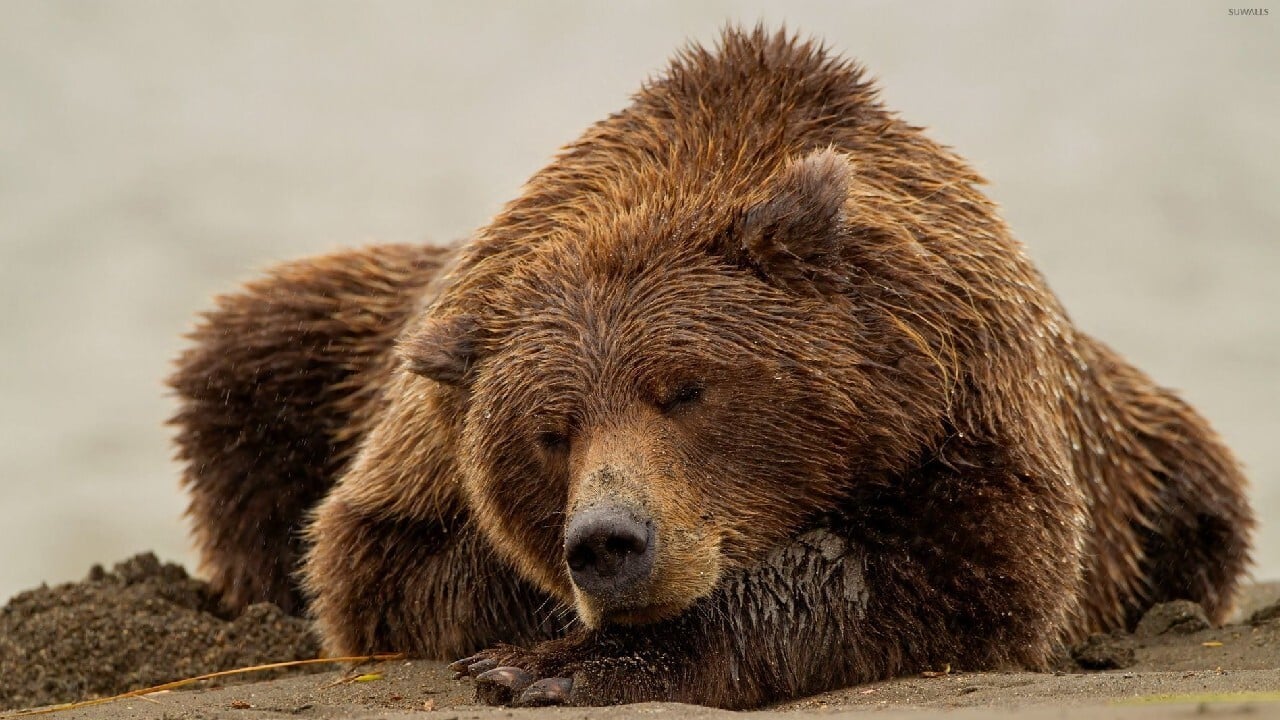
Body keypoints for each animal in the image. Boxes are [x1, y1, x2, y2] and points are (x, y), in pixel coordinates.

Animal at [167, 28, 1249, 707]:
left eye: (686, 389)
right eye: (548, 431)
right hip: (321, 337)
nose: (608, 542)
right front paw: (544, 643)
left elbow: (953, 567)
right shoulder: (422, 443)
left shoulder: (969, 397)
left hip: (1165, 466)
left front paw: (565, 665)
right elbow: (385, 563)